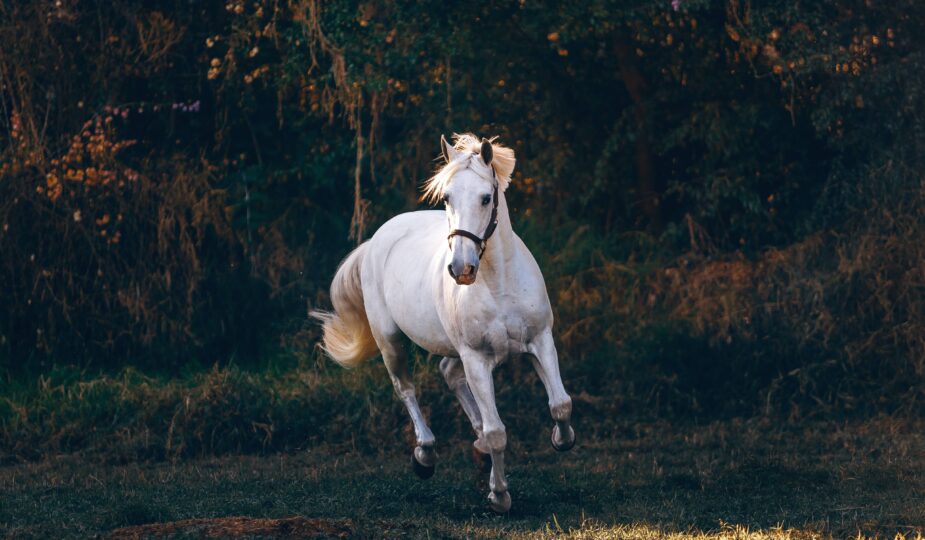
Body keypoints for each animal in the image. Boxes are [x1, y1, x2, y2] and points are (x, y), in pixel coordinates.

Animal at [314, 133, 572, 512]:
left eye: (486, 198)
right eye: (447, 197)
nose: (460, 269)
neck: (499, 283)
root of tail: (377, 239)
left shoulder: (540, 341)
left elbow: (560, 405)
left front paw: (559, 439)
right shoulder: (476, 358)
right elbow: (497, 432)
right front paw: (499, 495)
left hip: (453, 348)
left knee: (449, 373)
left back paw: (476, 448)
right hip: (391, 340)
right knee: (406, 389)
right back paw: (425, 455)